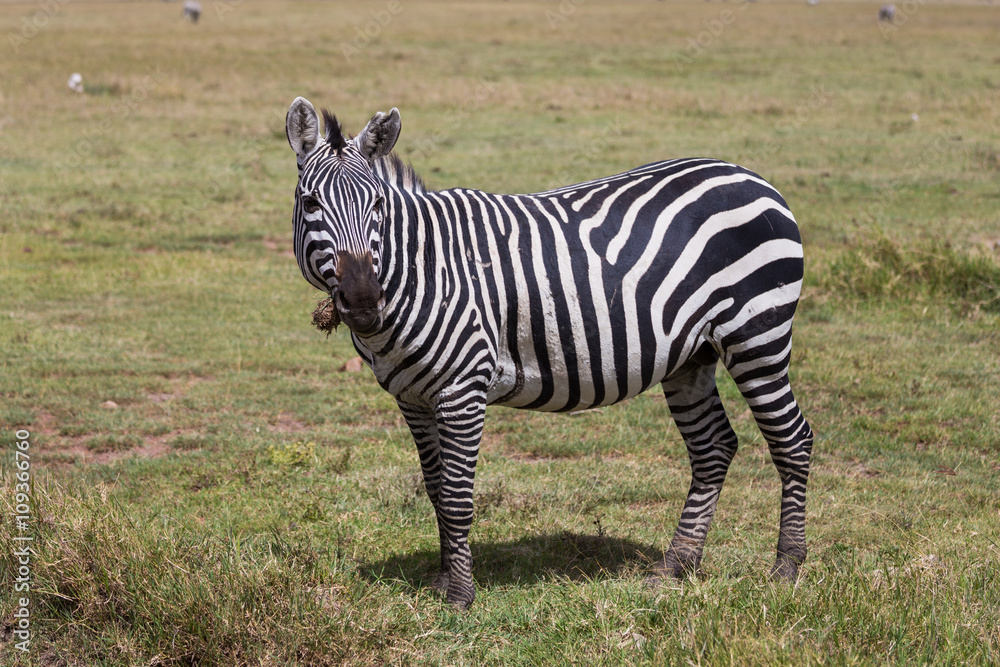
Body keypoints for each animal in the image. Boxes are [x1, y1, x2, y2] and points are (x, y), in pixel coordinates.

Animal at [286, 98, 816, 612]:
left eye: (377, 205)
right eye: (310, 202)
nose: (363, 303)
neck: (423, 267)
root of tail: (748, 174)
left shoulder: (463, 388)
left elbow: (456, 498)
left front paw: (459, 598)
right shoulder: (412, 397)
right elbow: (435, 490)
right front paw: (441, 581)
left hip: (756, 337)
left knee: (793, 440)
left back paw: (786, 569)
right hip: (691, 355)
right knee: (714, 449)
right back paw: (676, 565)